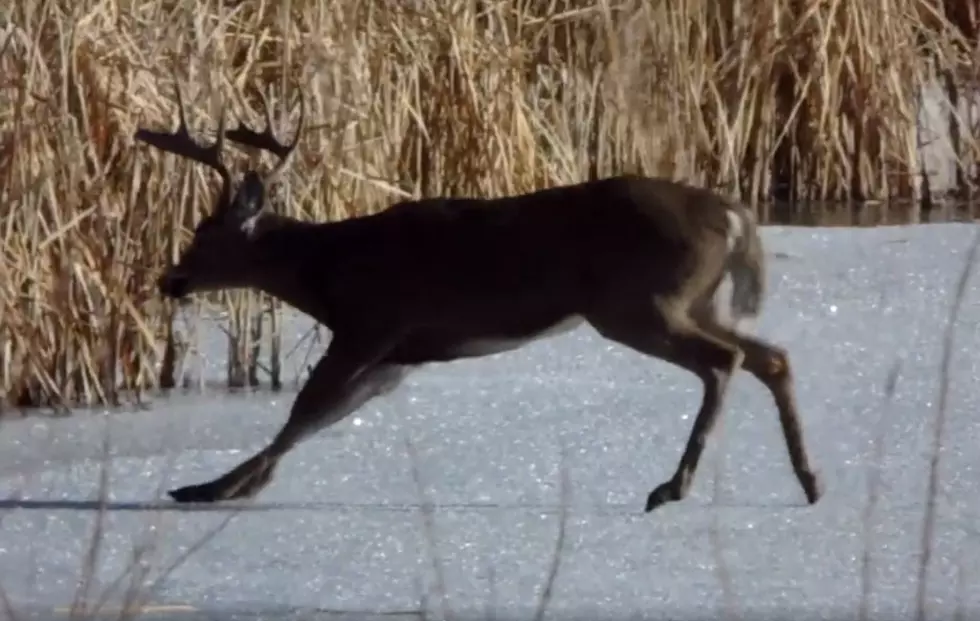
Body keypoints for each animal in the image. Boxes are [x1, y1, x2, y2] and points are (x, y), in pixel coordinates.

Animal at [130, 80, 820, 512]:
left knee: (725, 360)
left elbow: (301, 412)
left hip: (637, 302)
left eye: (202, 232)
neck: (328, 270)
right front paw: (227, 486)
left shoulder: (373, 321)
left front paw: (210, 489)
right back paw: (810, 482)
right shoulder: (400, 357)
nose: (171, 281)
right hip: (693, 299)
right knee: (772, 355)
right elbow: (317, 419)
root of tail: (734, 215)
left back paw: (670, 488)